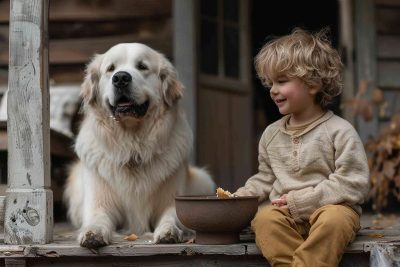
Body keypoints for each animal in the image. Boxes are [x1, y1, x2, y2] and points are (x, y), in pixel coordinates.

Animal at [65, 43, 216, 249]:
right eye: (111, 68)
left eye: (142, 66)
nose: (121, 78)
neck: (132, 146)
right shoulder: (98, 202)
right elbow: (97, 218)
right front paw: (92, 233)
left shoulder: (173, 200)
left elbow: (171, 217)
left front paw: (168, 231)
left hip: (203, 178)